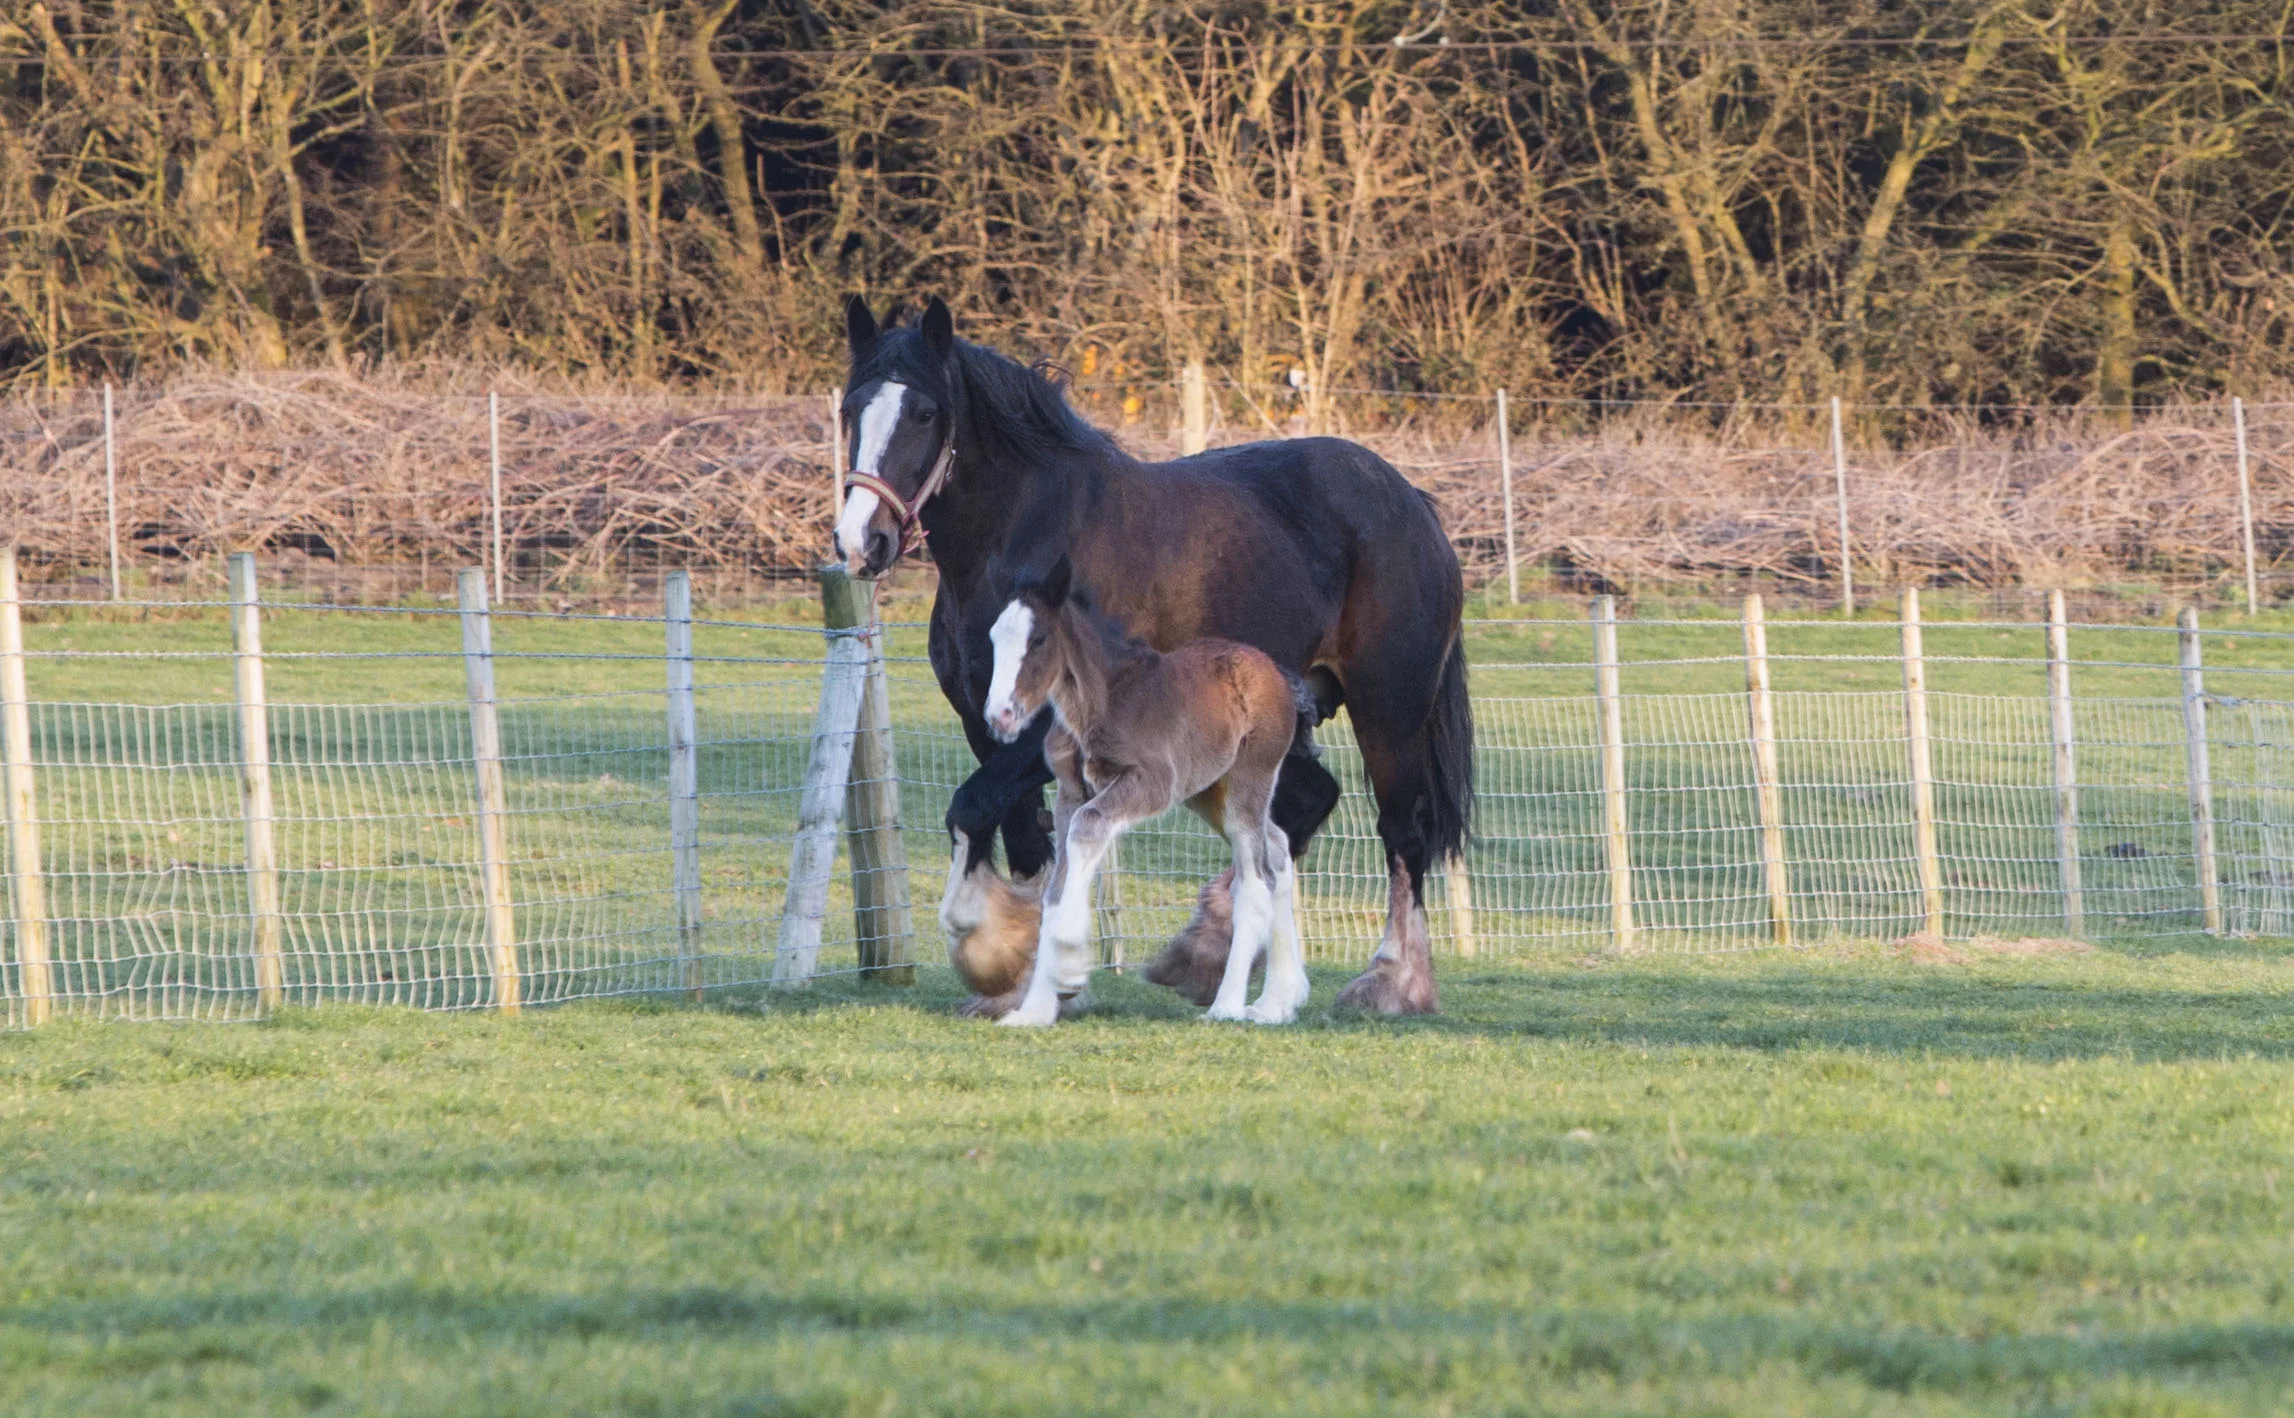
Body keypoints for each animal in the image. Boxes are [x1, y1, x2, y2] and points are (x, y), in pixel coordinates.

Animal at [979, 554, 1314, 1027]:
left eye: (1039, 639)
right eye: (994, 637)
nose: (1000, 716)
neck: (1100, 704)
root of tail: (1279, 676)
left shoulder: (1150, 784)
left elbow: (1087, 829)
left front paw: (1069, 962)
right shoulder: (1069, 795)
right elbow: (1056, 886)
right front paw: (1035, 1011)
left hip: (1248, 781)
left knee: (1255, 879)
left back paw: (1227, 1006)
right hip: (1208, 792)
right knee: (1279, 847)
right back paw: (1277, 1001)